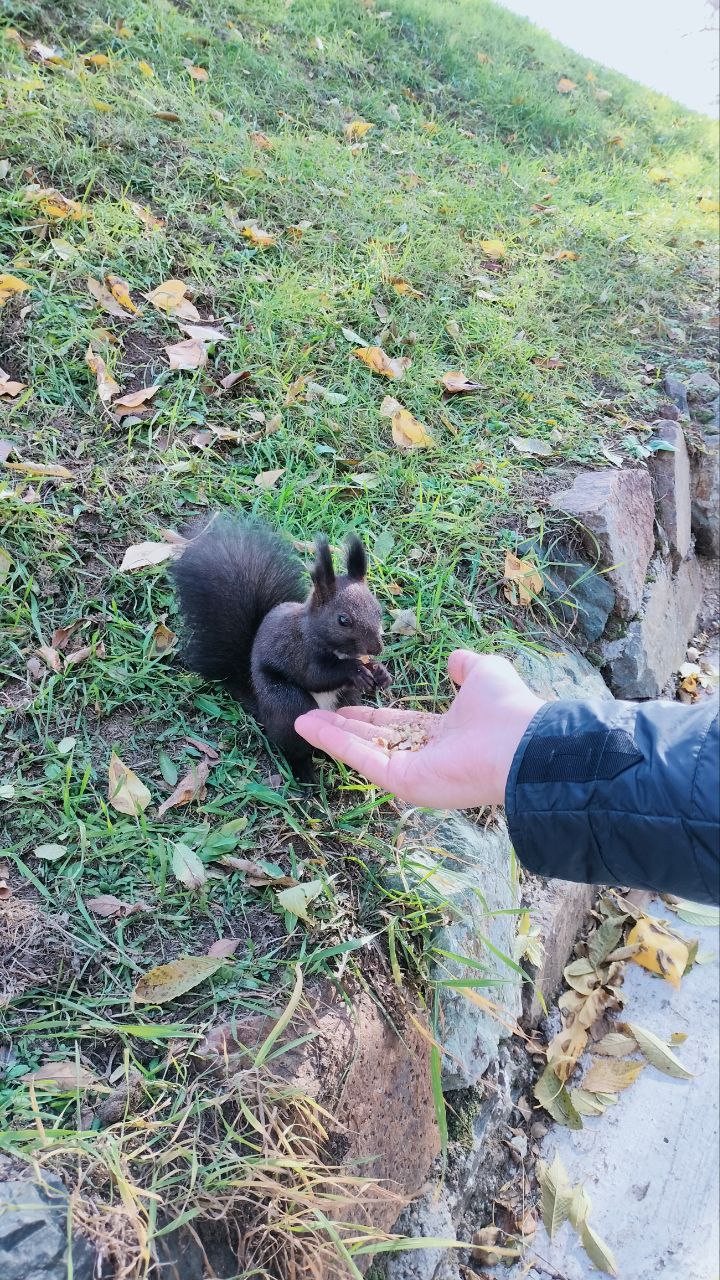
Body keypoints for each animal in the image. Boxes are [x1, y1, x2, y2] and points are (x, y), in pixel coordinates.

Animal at [170, 517, 389, 778]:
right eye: (343, 620)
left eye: (378, 610)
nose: (376, 648)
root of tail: (263, 711)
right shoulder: (297, 651)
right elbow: (315, 676)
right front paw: (355, 670)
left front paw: (380, 672)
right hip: (288, 704)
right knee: (295, 750)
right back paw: (306, 776)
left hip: (345, 701)